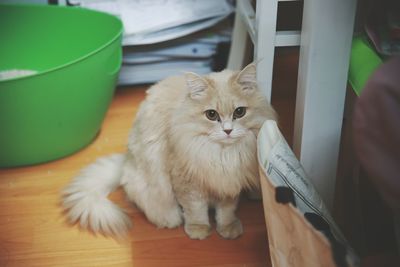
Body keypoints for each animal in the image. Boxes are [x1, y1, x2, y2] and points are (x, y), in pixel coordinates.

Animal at [62, 63, 276, 241]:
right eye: (211, 115)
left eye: (240, 112)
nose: (228, 130)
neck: (222, 155)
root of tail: (125, 161)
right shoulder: (187, 182)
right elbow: (195, 209)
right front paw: (198, 230)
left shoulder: (229, 182)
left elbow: (227, 210)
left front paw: (228, 228)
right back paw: (169, 220)